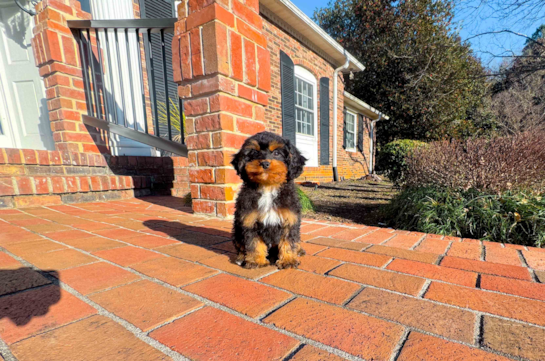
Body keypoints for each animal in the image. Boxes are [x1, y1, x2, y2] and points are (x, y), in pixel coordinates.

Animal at [230, 131, 306, 268]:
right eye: (254, 153)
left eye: (276, 153)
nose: (265, 163)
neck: (268, 187)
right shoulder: (249, 220)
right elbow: (253, 242)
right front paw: (256, 261)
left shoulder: (290, 219)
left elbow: (288, 241)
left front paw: (288, 260)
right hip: (237, 230)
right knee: (240, 246)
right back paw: (240, 258)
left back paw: (299, 250)